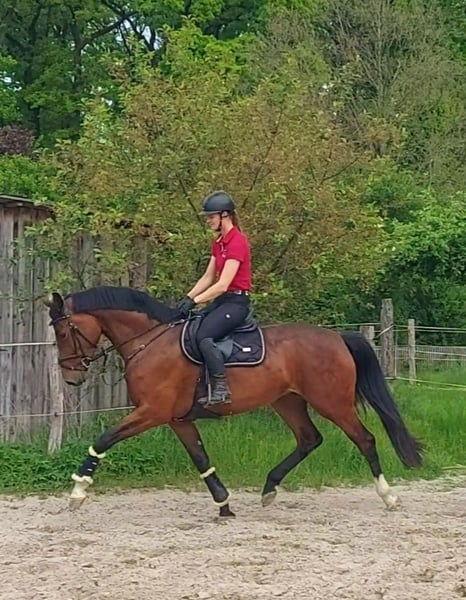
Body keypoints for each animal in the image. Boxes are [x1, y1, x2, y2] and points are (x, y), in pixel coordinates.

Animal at [44, 285, 423, 517]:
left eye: (62, 332)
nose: (72, 378)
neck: (149, 342)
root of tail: (337, 338)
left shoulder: (152, 412)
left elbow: (103, 440)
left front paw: (78, 492)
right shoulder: (178, 419)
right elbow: (201, 458)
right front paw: (224, 503)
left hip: (332, 402)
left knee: (365, 439)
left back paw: (388, 496)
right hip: (288, 401)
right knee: (309, 439)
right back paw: (269, 488)